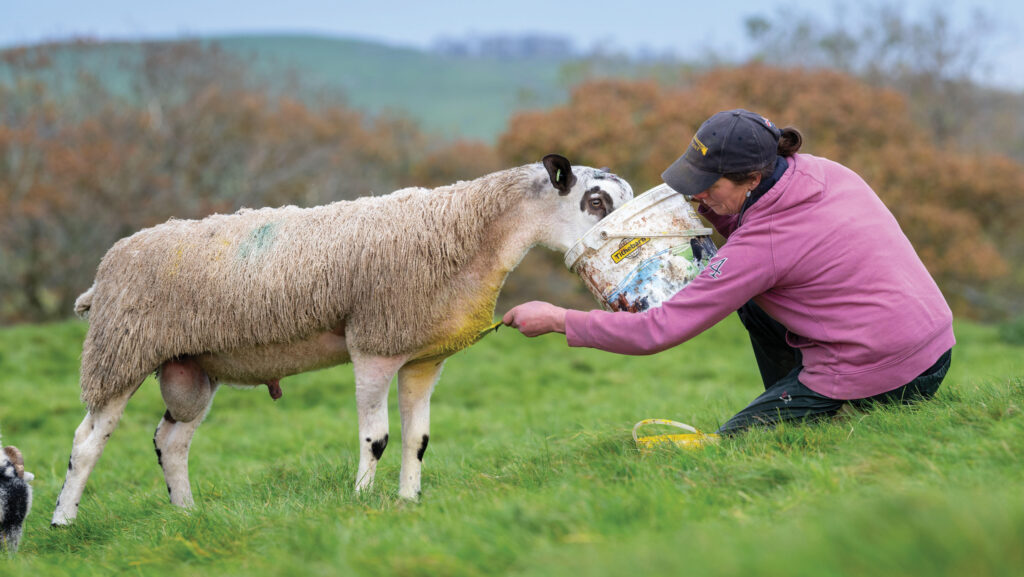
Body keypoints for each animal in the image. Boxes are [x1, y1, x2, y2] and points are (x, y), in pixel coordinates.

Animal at [54, 155, 630, 524]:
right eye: (595, 200)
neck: (467, 231)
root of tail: (103, 274)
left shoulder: (423, 358)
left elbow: (418, 440)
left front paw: (407, 503)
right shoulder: (373, 345)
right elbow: (376, 438)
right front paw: (361, 502)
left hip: (190, 369)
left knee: (171, 441)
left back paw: (187, 515)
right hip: (119, 353)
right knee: (87, 441)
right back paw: (64, 520)